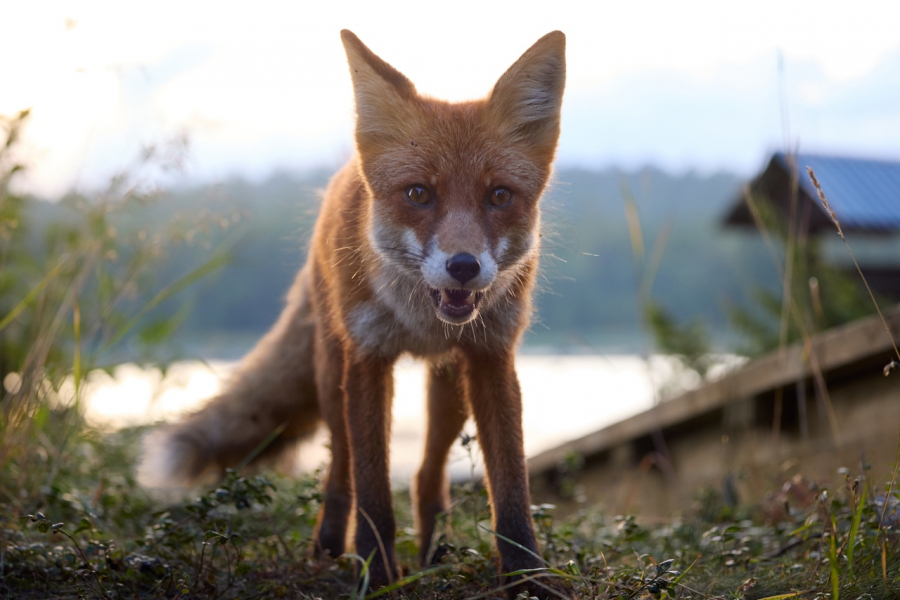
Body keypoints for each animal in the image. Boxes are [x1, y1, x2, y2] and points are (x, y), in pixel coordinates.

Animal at [139, 29, 566, 594]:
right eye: (418, 193)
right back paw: (327, 548)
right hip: (331, 373)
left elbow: (511, 487)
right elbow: (372, 490)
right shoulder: (368, 357)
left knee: (426, 476)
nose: (463, 266)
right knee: (341, 470)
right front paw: (377, 575)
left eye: (499, 195)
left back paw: (434, 554)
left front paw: (529, 578)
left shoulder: (492, 357)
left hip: (450, 387)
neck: (418, 319)